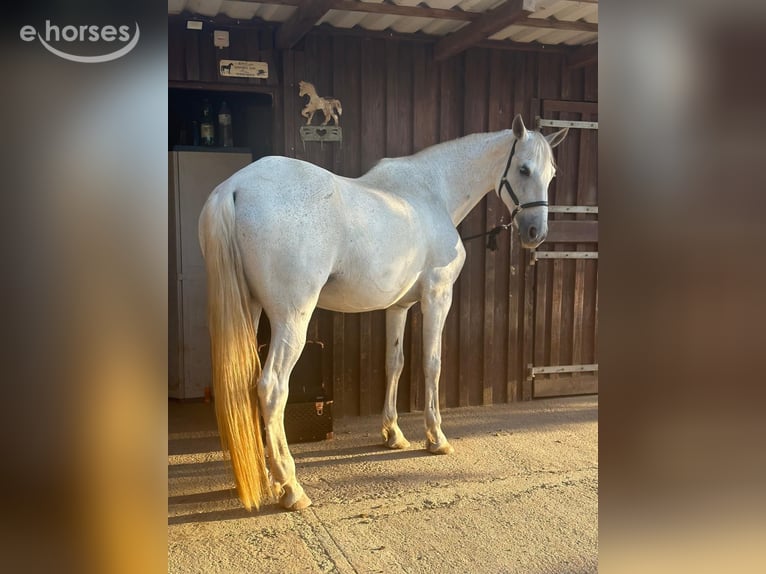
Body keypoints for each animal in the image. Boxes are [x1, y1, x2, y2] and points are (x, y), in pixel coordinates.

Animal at [198, 114, 567, 511]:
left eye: (552, 174)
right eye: (523, 168)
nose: (535, 233)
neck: (431, 194)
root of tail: (234, 188)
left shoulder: (398, 306)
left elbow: (395, 363)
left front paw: (393, 433)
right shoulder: (438, 296)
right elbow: (432, 363)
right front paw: (436, 438)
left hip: (249, 310)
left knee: (245, 384)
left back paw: (266, 475)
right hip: (291, 319)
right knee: (271, 388)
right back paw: (291, 486)